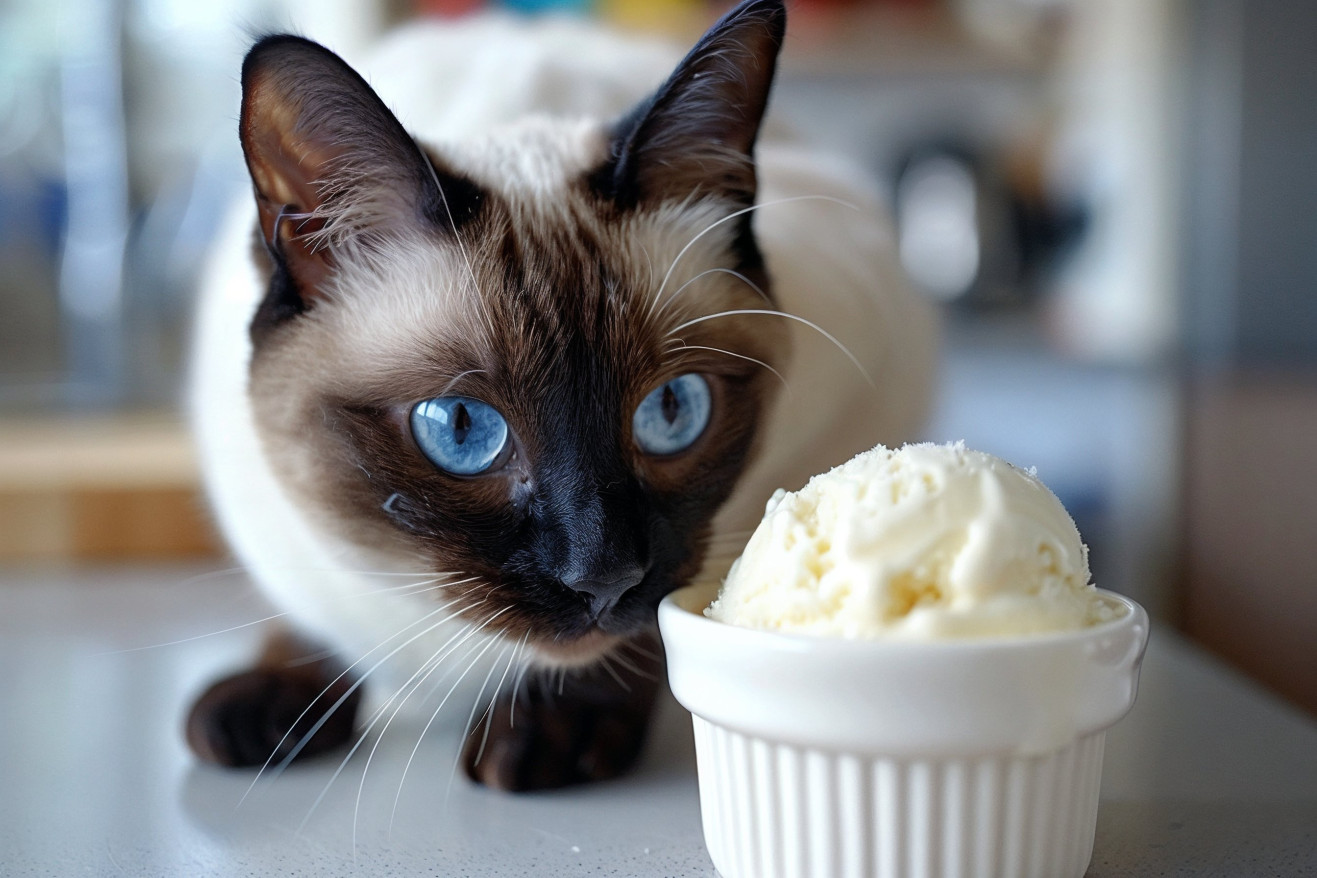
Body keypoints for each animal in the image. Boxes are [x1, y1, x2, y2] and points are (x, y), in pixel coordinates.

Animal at [190, 0, 942, 795]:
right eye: (461, 430)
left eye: (671, 412)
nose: (603, 578)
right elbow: (306, 617)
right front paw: (270, 702)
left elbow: (668, 616)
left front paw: (557, 723)